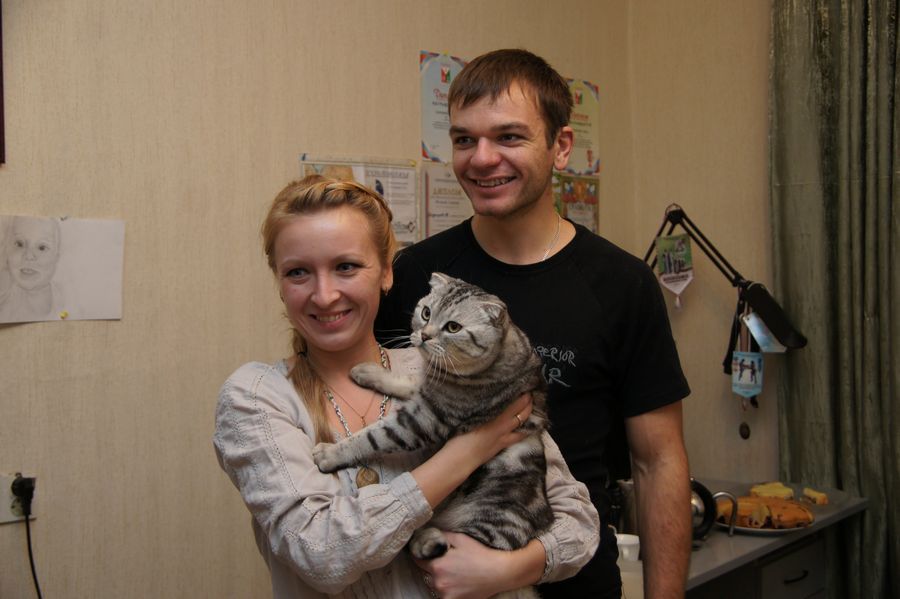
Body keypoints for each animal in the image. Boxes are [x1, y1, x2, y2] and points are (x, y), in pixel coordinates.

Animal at [313, 272, 551, 597]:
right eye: (426, 313)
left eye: (453, 327)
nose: (424, 336)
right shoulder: (427, 392)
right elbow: (403, 380)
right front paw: (368, 372)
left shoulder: (425, 419)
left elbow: (372, 437)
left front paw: (330, 453)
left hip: (487, 525)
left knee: (442, 547)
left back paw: (428, 538)